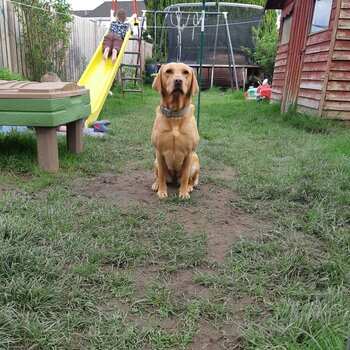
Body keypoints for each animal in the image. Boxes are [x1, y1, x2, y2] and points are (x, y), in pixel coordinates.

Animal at [151, 62, 200, 198]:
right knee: (159, 176)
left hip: (195, 161)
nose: (178, 80)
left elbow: (185, 176)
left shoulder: (189, 153)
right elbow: (162, 176)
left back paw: (189, 187)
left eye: (186, 72)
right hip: (155, 161)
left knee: (190, 179)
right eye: (168, 71)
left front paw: (183, 193)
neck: (175, 115)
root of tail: (173, 178)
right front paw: (162, 191)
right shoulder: (159, 152)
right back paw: (156, 185)